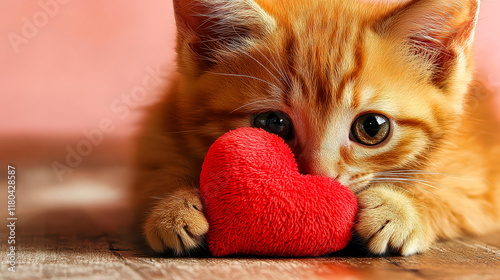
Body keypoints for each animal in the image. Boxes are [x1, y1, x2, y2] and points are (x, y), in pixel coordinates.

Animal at [133, 0, 500, 255]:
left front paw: (401, 210)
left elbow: (451, 192)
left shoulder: (478, 172)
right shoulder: (160, 130)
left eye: (372, 128)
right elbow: (158, 170)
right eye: (273, 123)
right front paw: (173, 208)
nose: (319, 179)